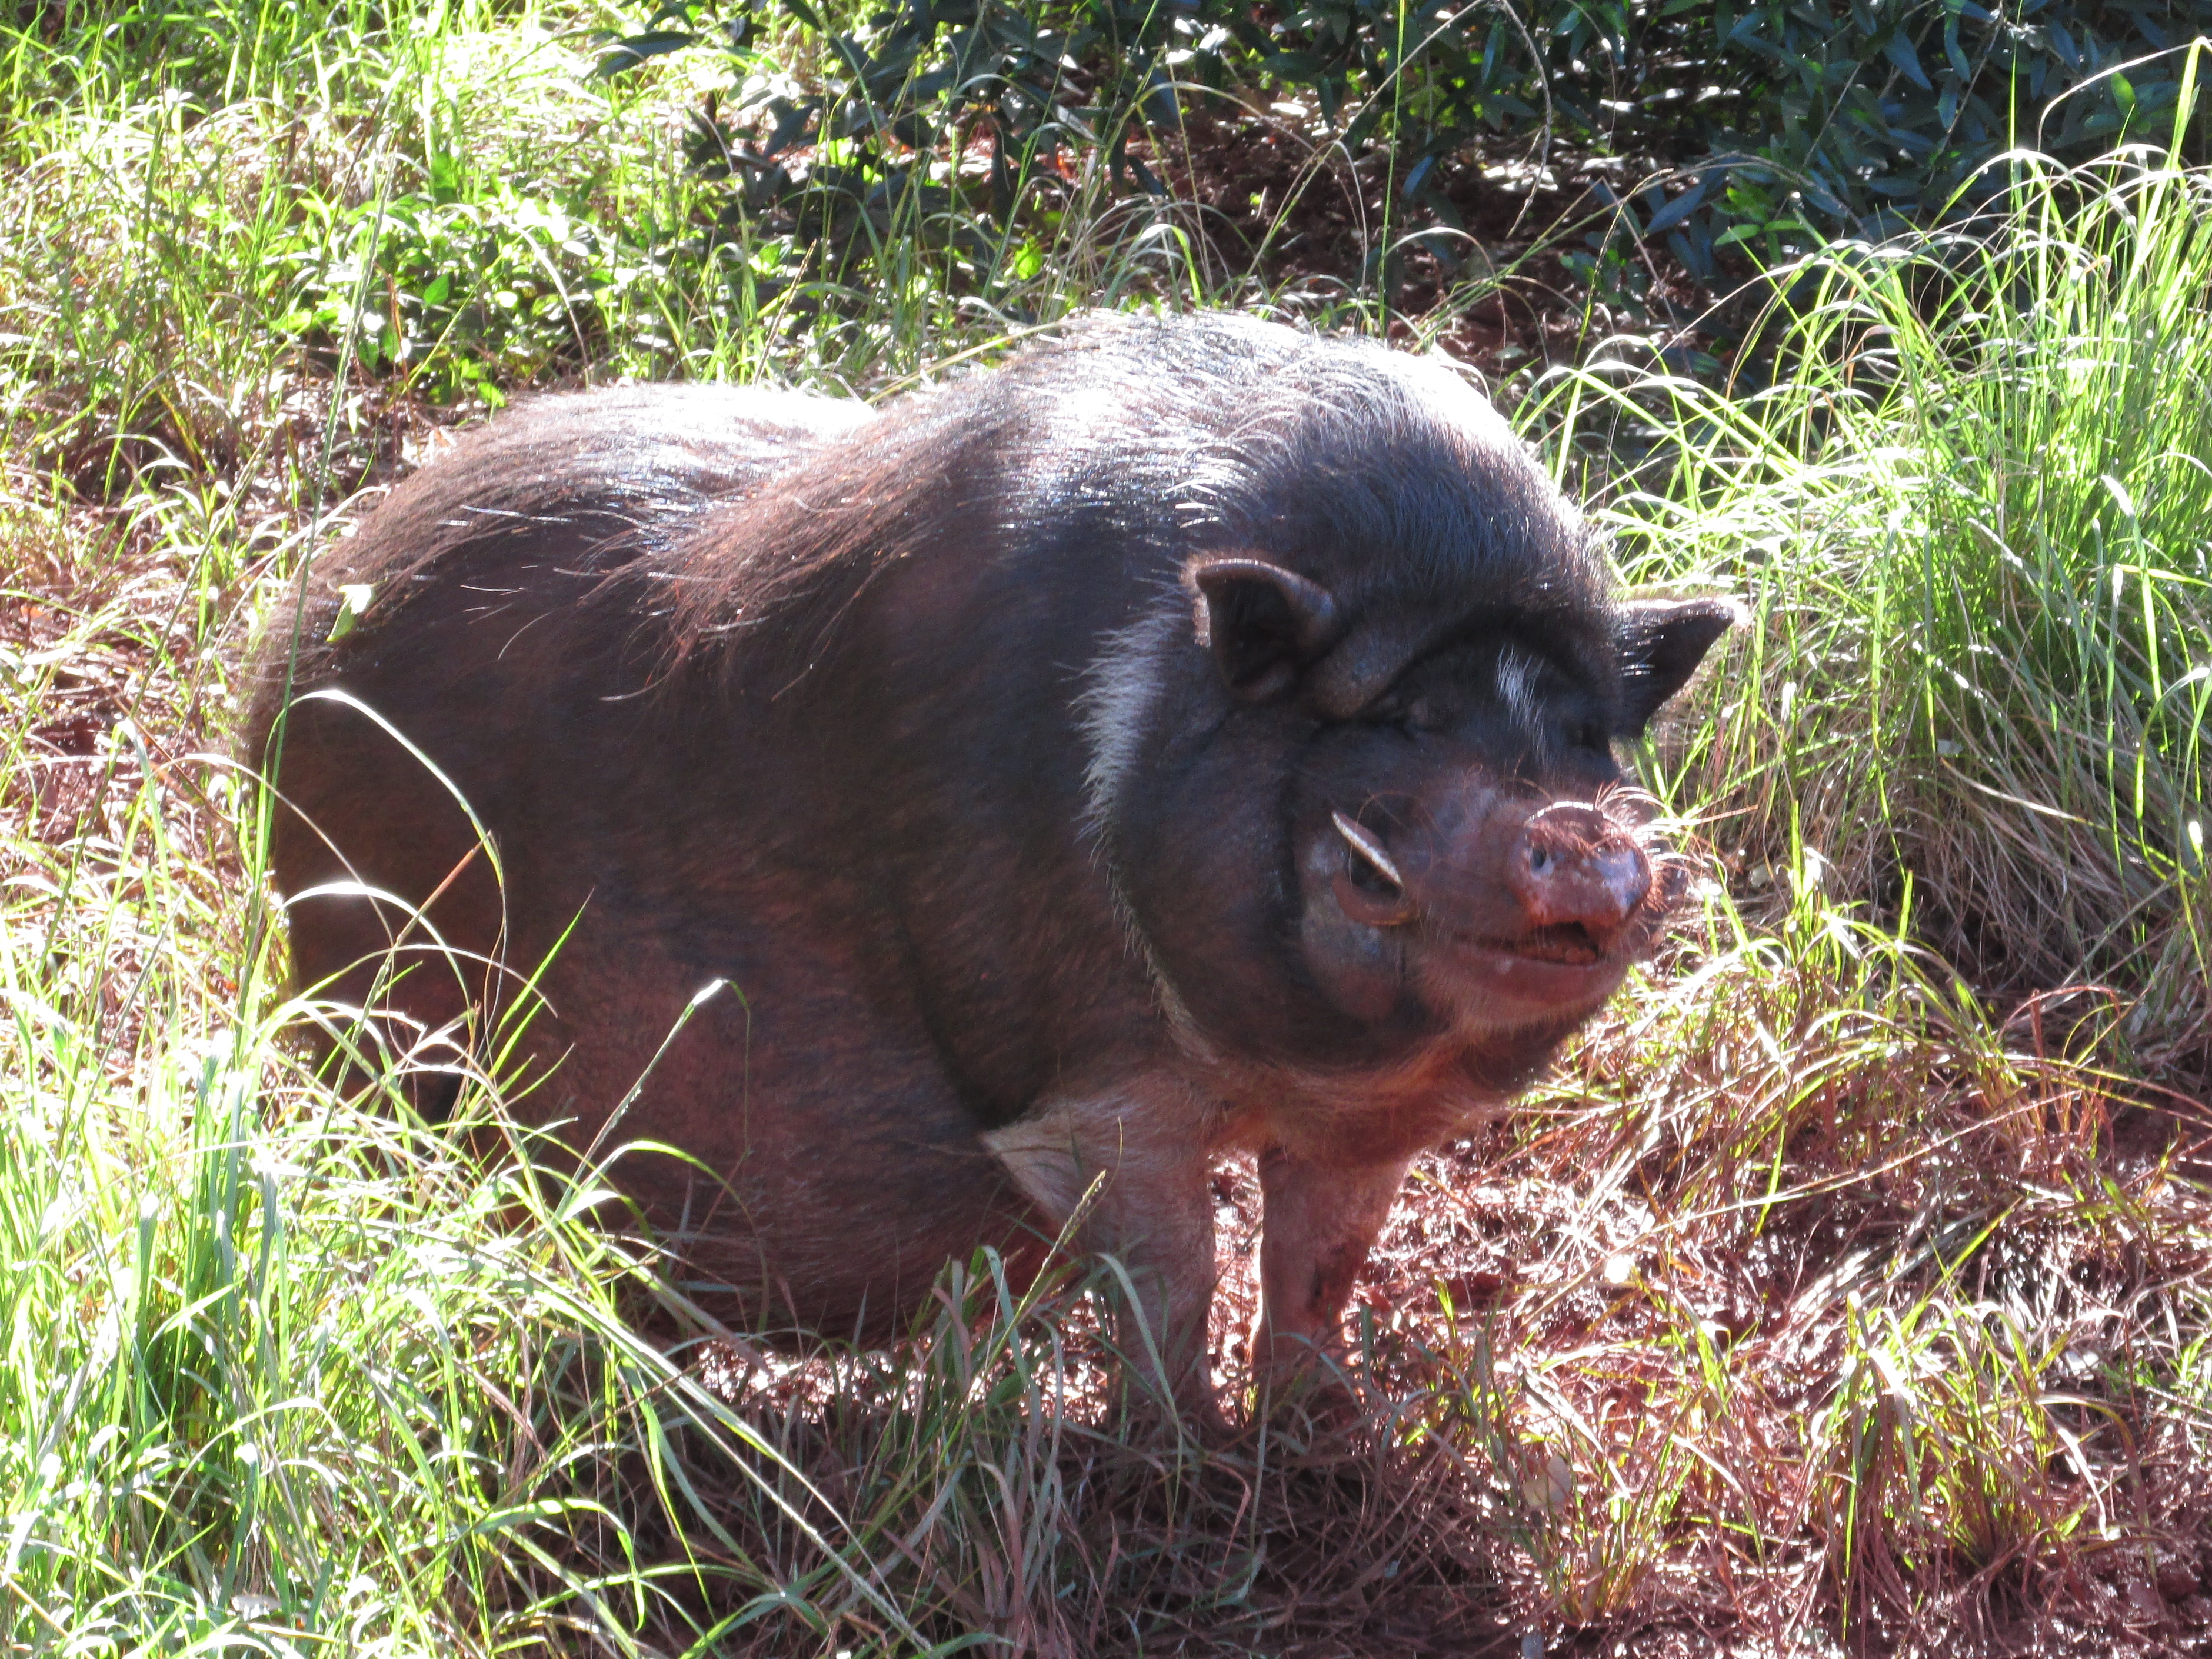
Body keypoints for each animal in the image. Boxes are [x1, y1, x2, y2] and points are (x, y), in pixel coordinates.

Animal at [244, 314, 1736, 1419]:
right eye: (1408, 720)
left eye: (1583, 735)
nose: (1582, 843)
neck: (1280, 1073)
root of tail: (294, 631)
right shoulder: (1082, 1087)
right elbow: (1176, 1271)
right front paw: (1177, 1448)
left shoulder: (1363, 1133)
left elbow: (1318, 1268)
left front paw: (1320, 1432)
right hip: (383, 1022)